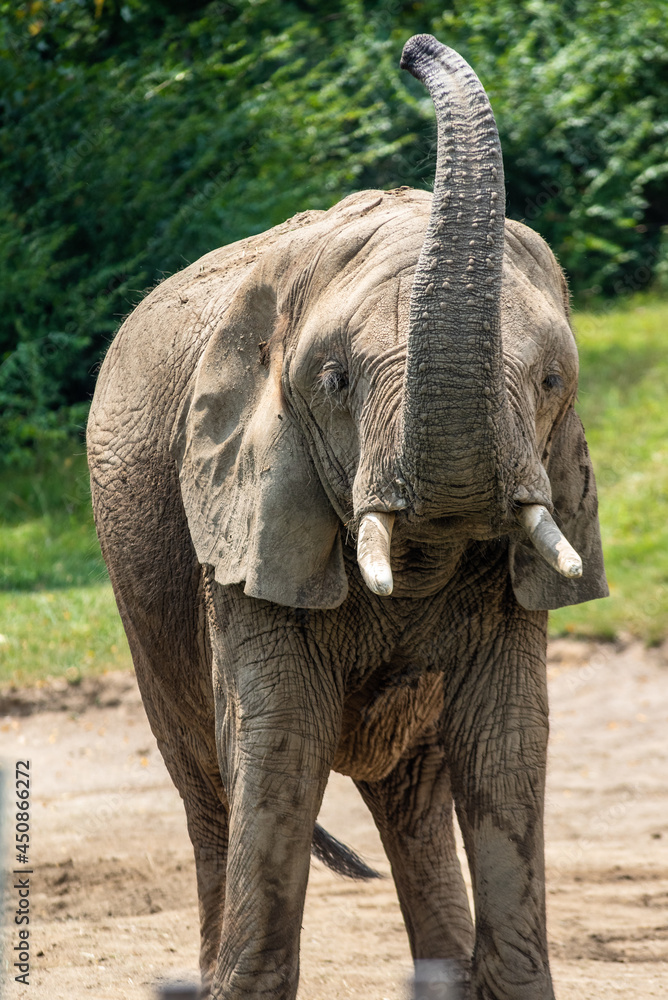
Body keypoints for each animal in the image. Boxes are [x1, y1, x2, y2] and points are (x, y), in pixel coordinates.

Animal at [87, 33, 608, 1000]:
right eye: (333, 381)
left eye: (552, 380)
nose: (415, 47)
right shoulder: (246, 517)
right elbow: (277, 747)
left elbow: (506, 747)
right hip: (137, 584)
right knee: (208, 789)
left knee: (413, 795)